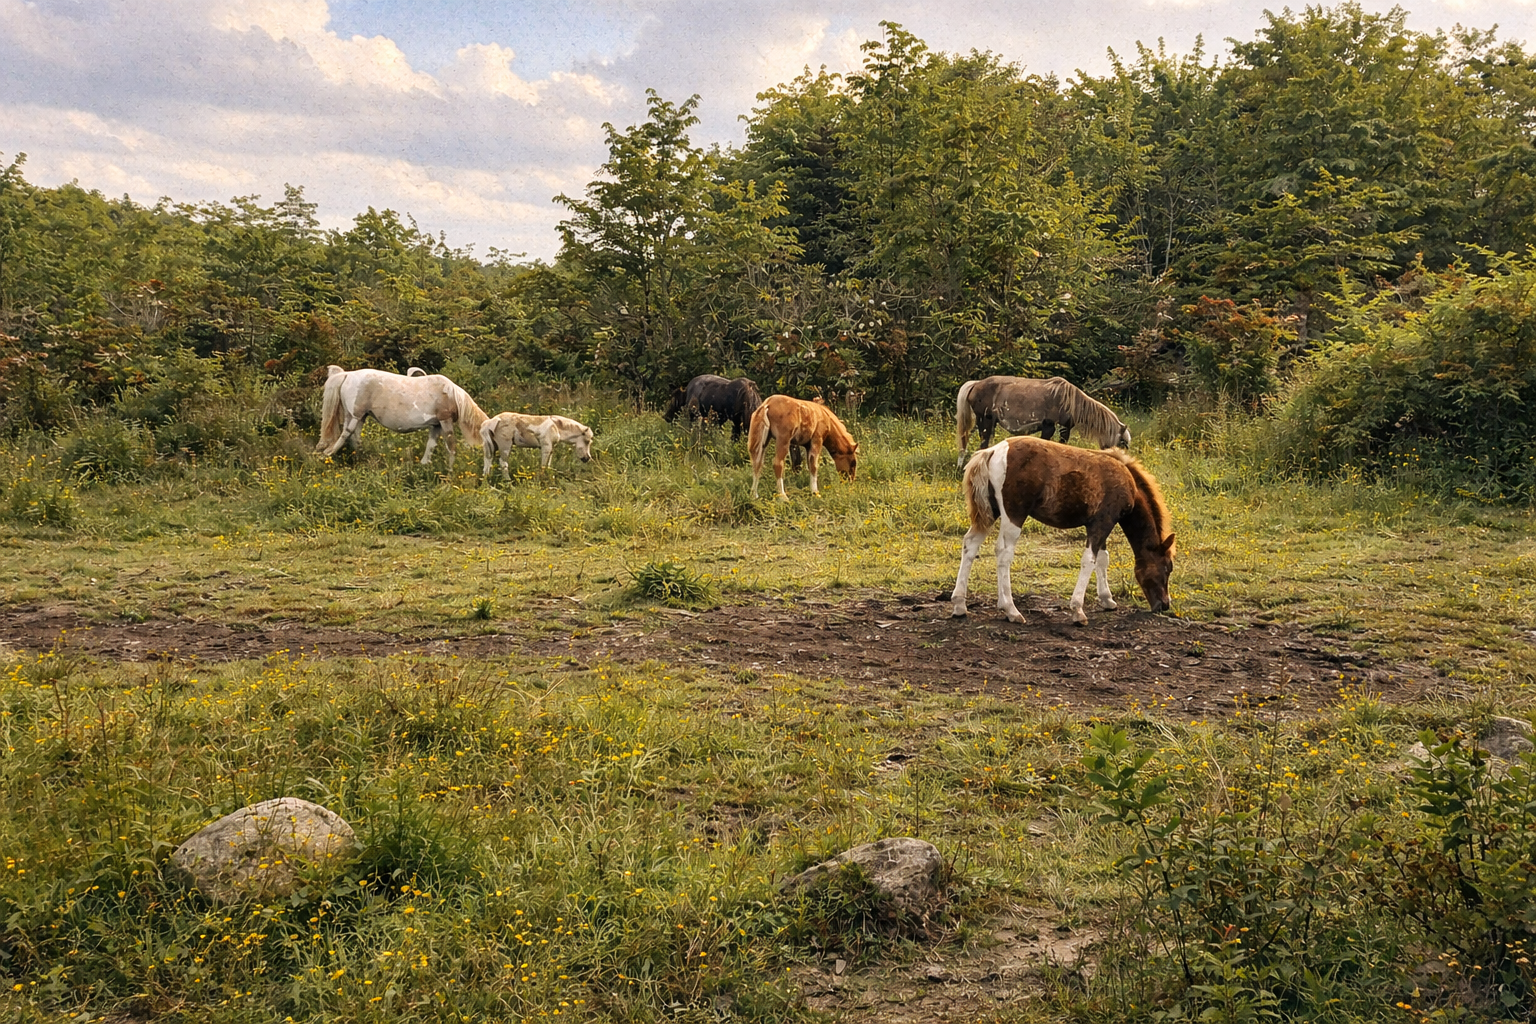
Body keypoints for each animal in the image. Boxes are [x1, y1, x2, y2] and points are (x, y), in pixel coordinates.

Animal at [316, 365, 488, 469]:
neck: (451, 394)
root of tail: (348, 374)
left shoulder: (436, 425)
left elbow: (430, 445)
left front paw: (424, 466)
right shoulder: (445, 421)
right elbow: (451, 446)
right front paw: (450, 472)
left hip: (358, 417)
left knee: (354, 437)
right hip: (355, 416)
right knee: (346, 434)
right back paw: (328, 454)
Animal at [949, 436, 1175, 626]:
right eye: (1167, 568)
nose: (1164, 605)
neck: (1126, 480)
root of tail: (993, 451)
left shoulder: (1099, 524)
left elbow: (1103, 558)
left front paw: (1107, 599)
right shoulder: (1103, 522)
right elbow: (1089, 560)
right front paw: (1078, 611)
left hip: (990, 512)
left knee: (970, 545)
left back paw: (960, 604)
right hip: (1014, 515)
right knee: (1003, 553)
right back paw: (1011, 610)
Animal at [955, 376, 1131, 469]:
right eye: (1122, 443)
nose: (1124, 464)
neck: (1069, 400)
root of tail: (976, 383)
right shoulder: (1052, 427)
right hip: (985, 422)